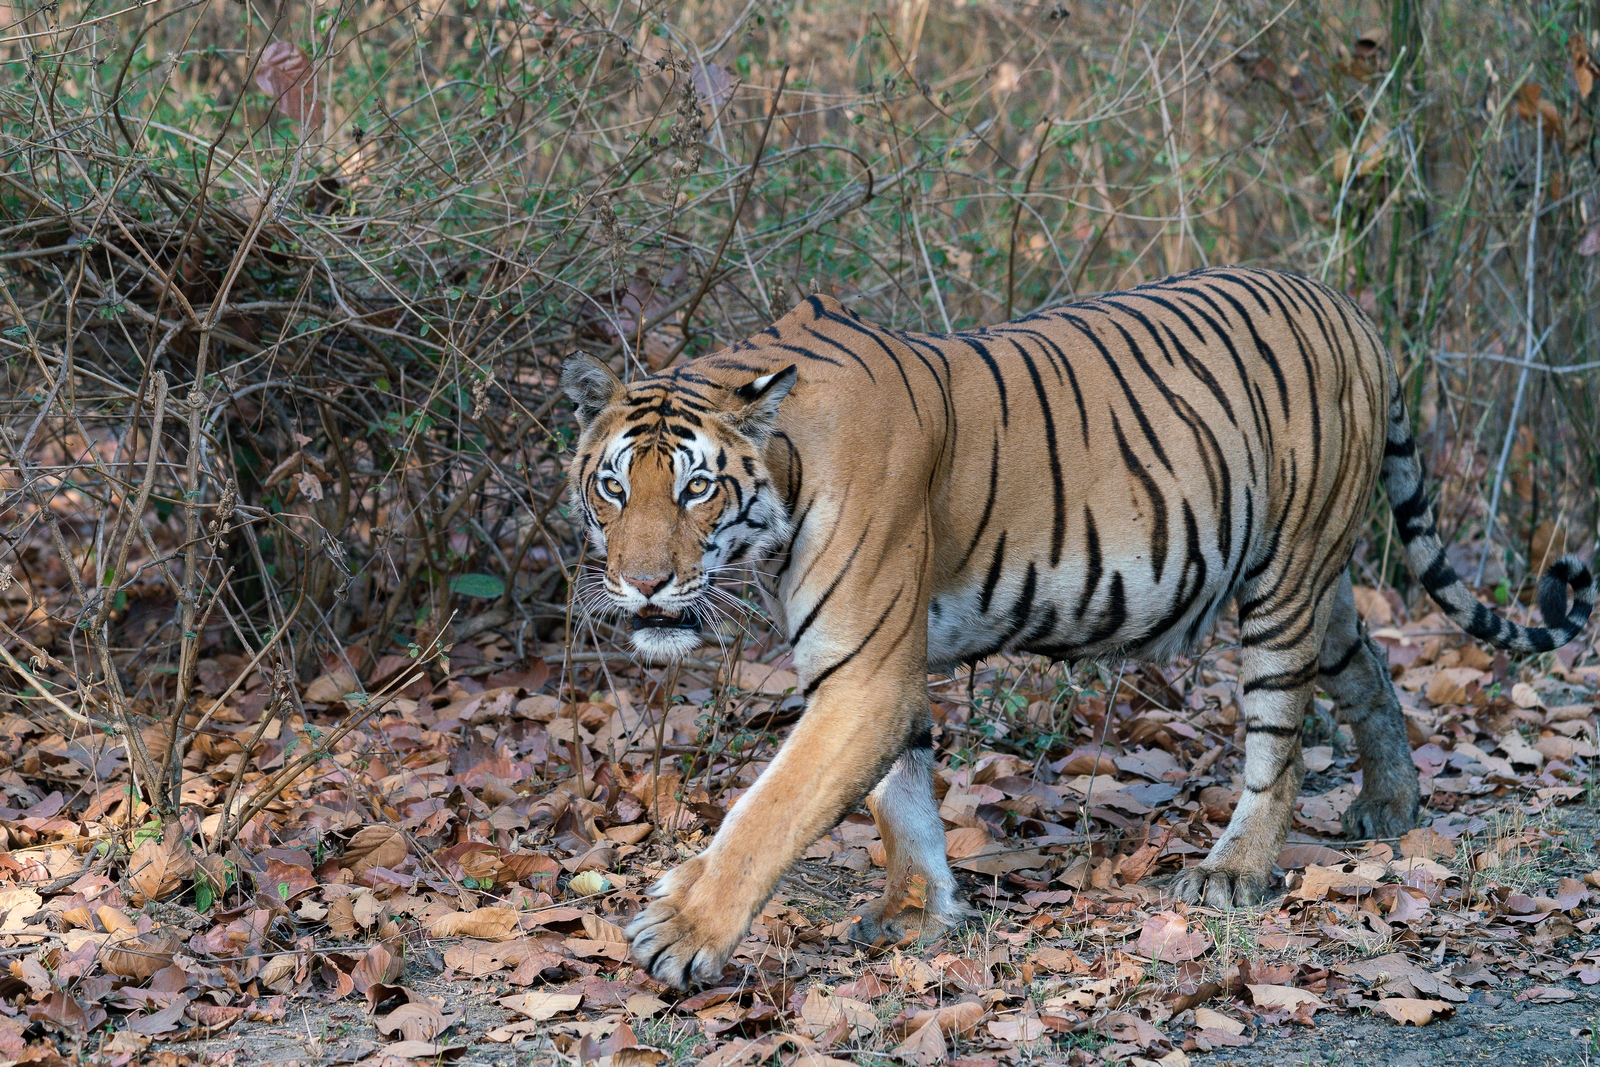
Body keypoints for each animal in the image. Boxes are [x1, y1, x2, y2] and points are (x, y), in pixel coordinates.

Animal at [559, 266, 1593, 990]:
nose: (643, 584)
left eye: (696, 487)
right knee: (1368, 664)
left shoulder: (864, 672)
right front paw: (918, 915)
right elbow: (901, 798)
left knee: (1281, 740)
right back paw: (1391, 802)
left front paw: (683, 932)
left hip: (1284, 580)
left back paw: (1235, 869)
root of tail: (1351, 309)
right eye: (613, 486)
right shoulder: (866, 667)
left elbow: (773, 808)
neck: (776, 486)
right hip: (1318, 578)